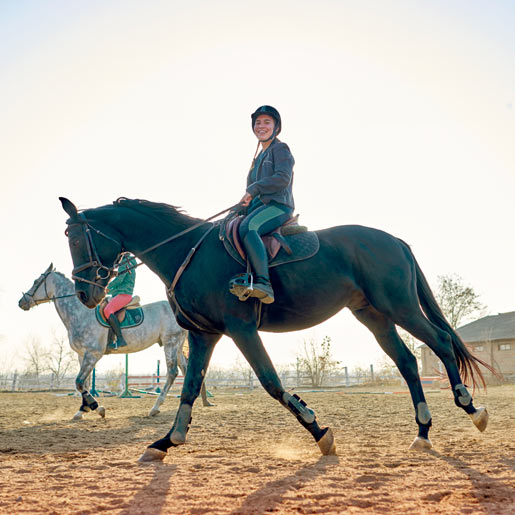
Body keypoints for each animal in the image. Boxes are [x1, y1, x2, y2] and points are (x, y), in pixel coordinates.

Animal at [18, 264, 212, 422]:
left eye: (36, 281)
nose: (22, 302)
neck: (80, 313)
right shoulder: (82, 355)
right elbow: (84, 384)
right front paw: (82, 410)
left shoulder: (93, 354)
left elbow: (79, 382)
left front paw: (97, 408)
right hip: (177, 346)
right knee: (186, 371)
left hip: (170, 342)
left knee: (172, 373)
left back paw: (155, 408)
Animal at [60, 199, 492, 464]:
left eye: (77, 237)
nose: (84, 293)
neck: (187, 252)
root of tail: (395, 240)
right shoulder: (204, 334)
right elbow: (190, 387)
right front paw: (166, 442)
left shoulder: (241, 329)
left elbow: (271, 382)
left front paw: (320, 431)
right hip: (373, 315)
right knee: (406, 362)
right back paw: (423, 431)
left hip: (397, 305)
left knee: (440, 343)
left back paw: (472, 409)